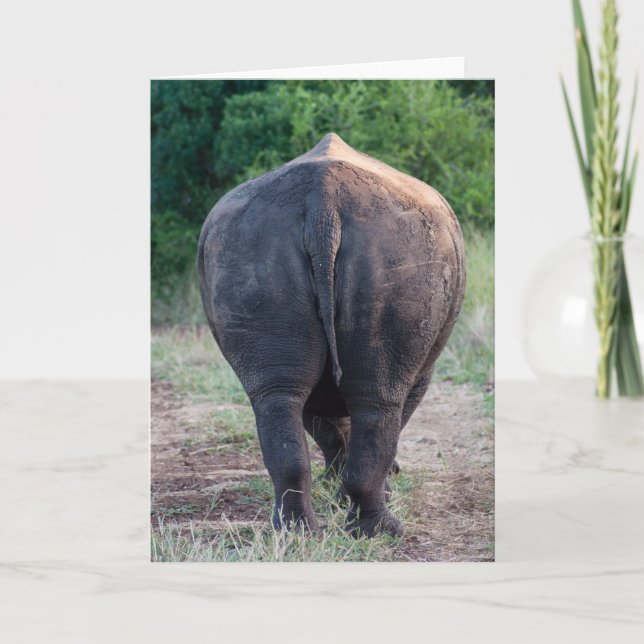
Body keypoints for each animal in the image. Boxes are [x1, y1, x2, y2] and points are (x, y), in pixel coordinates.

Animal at [198, 133, 465, 537]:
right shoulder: (422, 372)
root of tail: (322, 204)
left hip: (251, 247)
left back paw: (295, 532)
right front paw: (369, 487)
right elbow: (383, 419)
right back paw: (382, 532)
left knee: (278, 394)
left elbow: (324, 427)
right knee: (379, 398)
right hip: (400, 249)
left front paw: (334, 488)